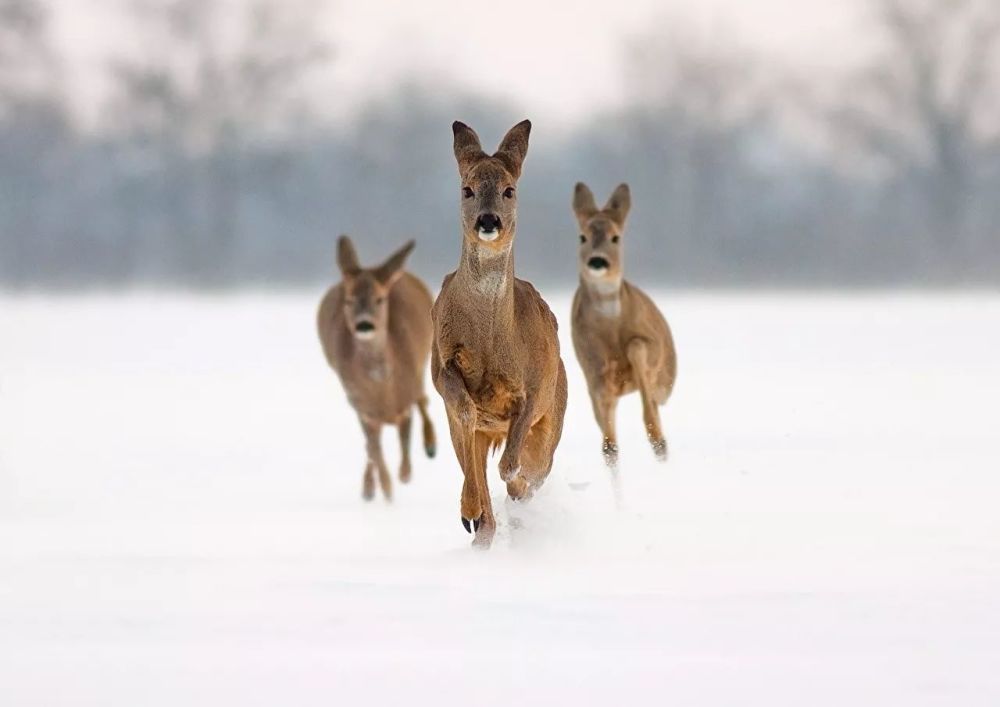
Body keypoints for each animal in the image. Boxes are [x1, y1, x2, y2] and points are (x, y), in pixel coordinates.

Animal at [316, 238, 434, 504]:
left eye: (380, 299)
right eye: (349, 300)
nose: (364, 325)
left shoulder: (404, 399)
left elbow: (404, 442)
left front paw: (404, 475)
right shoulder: (361, 407)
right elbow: (374, 450)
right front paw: (386, 491)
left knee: (423, 398)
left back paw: (431, 445)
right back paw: (370, 488)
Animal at [432, 121, 568, 552]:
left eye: (510, 190)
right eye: (467, 189)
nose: (488, 220)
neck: (492, 340)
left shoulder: (536, 386)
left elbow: (512, 464)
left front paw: (515, 492)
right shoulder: (441, 365)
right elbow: (464, 410)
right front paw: (471, 512)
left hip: (555, 413)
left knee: (533, 468)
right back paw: (478, 523)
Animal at [572, 181, 680, 470]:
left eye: (615, 237)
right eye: (582, 237)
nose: (598, 261)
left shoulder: (652, 345)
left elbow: (636, 347)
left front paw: (657, 438)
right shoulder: (592, 370)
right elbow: (609, 444)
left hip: (666, 380)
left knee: (655, 406)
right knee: (610, 442)